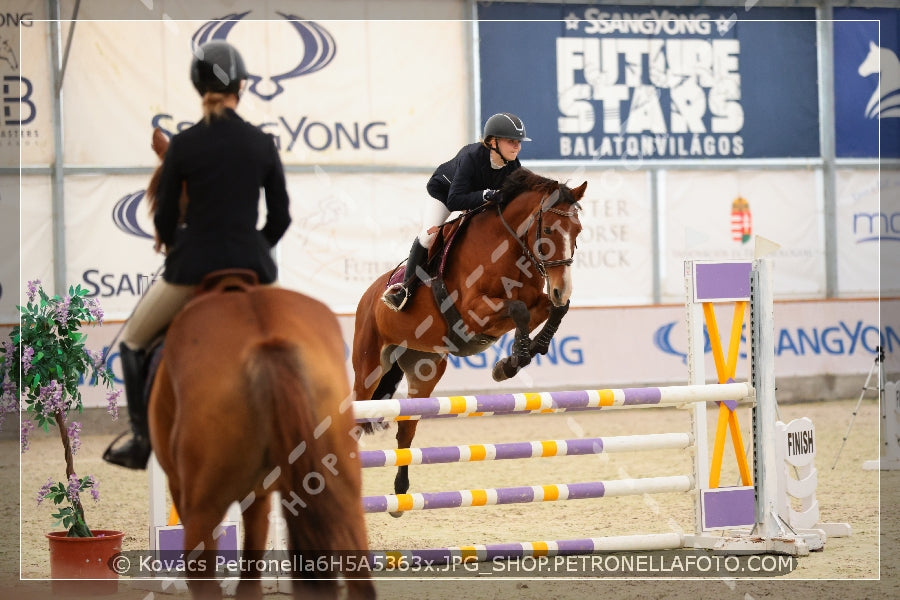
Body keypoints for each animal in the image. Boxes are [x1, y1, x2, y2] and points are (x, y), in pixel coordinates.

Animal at [145, 129, 376, 596]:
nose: (160, 243)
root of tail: (267, 343)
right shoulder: (261, 492)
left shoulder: (193, 488)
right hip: (340, 482)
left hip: (204, 503)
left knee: (203, 577)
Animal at [352, 168, 592, 502]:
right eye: (549, 231)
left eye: (578, 230)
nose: (562, 288)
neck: (509, 247)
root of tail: (369, 295)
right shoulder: (473, 310)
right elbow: (518, 309)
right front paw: (514, 360)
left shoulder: (537, 301)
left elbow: (554, 310)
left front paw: (517, 359)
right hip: (369, 367)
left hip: (424, 369)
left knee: (407, 427)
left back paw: (401, 494)